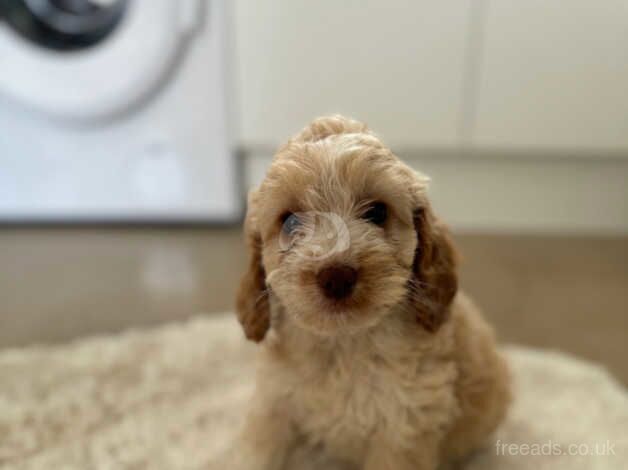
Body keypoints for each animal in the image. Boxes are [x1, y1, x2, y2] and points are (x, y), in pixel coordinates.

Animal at [231, 114, 510, 470]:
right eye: (290, 222)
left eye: (377, 212)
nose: (336, 276)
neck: (343, 344)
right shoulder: (275, 402)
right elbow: (258, 451)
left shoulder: (404, 423)